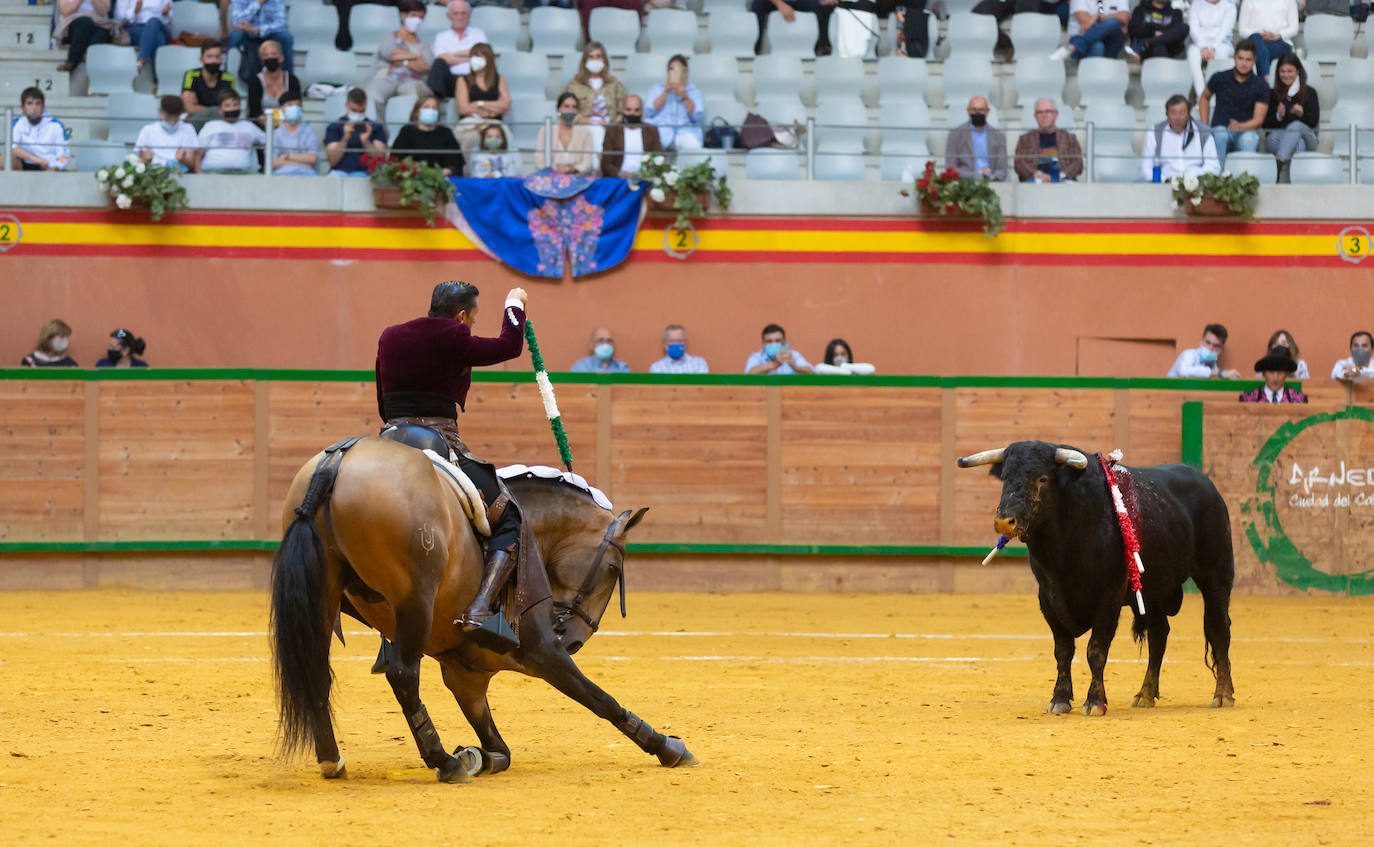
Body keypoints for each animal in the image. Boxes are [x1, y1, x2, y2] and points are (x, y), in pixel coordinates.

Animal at [269, 440, 697, 786]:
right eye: (612, 568)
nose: (573, 639)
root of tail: (338, 460)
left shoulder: (466, 676)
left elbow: (499, 748)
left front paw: (476, 755)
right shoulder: (543, 651)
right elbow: (599, 698)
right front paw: (667, 747)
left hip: (322, 599)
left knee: (317, 674)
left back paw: (333, 760)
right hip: (414, 600)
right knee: (403, 674)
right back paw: (443, 762)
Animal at [956, 442, 1236, 715]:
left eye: (1042, 478)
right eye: (1005, 477)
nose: (1005, 522)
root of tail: (1205, 481)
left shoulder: (1108, 597)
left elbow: (1096, 650)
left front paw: (1095, 702)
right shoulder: (1047, 597)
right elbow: (1063, 650)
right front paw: (1059, 699)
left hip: (1217, 573)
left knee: (1218, 628)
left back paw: (1223, 695)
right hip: (1152, 590)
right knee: (1159, 635)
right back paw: (1145, 694)